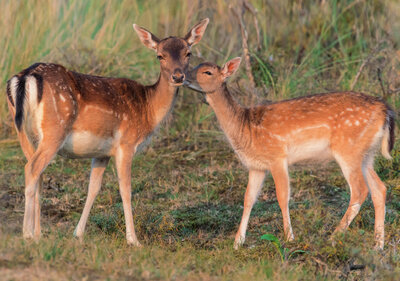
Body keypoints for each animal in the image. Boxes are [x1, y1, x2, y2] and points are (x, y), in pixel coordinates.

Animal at [5, 18, 209, 245]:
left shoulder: (102, 152)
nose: (178, 76)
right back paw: (27, 234)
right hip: (54, 130)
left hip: (24, 131)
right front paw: (133, 240)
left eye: (188, 53)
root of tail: (24, 78)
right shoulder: (126, 143)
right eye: (160, 55)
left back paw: (38, 233)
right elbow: (126, 190)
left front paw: (78, 233)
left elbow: (93, 188)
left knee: (37, 173)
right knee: (31, 169)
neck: (148, 109)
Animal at [184, 57, 394, 249]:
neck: (245, 128)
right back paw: (378, 245)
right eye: (194, 65)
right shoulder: (256, 166)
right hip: (366, 154)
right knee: (379, 189)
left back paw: (333, 238)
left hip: (348, 149)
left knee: (360, 190)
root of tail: (385, 111)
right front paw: (237, 242)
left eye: (207, 72)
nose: (183, 77)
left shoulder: (277, 156)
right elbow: (248, 199)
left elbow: (282, 196)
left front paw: (289, 238)